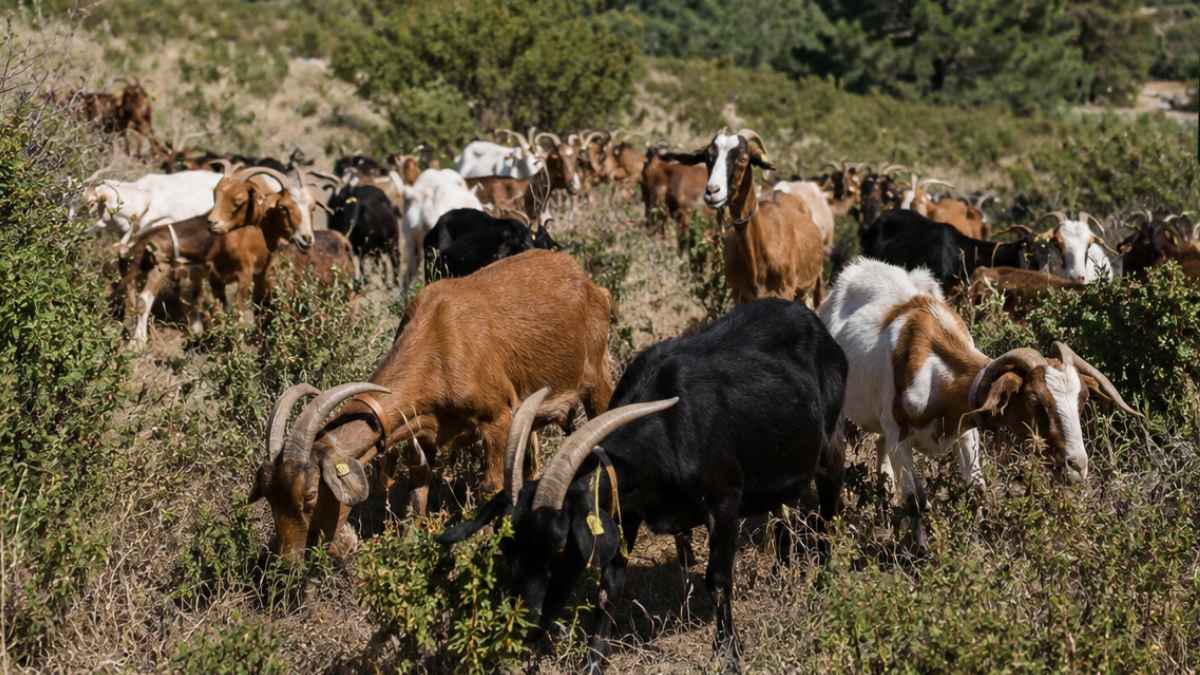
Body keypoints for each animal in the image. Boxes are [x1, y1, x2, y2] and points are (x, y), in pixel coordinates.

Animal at [249, 249, 616, 561]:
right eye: (268, 493)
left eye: (310, 495)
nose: (288, 562)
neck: (441, 341)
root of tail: (588, 282)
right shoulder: (422, 431)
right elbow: (418, 491)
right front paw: (409, 544)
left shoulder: (498, 419)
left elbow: (490, 487)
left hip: (597, 378)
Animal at [439, 298, 848, 673]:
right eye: (508, 545)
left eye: (559, 545)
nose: (526, 624)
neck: (667, 432)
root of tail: (813, 322)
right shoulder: (625, 512)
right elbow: (610, 586)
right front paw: (592, 661)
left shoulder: (724, 500)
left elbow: (718, 578)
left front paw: (728, 655)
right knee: (783, 509)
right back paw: (780, 574)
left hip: (830, 446)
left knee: (828, 512)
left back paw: (823, 584)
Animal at [665, 129, 825, 306]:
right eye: (708, 157)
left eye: (743, 158)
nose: (712, 192)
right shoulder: (740, 295)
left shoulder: (786, 291)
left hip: (806, 290)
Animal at [819, 258, 1139, 551]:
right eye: (1035, 400)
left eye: (1082, 399)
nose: (1077, 466)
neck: (934, 371)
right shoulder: (900, 435)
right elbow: (915, 500)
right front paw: (921, 554)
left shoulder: (966, 431)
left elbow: (976, 489)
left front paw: (977, 545)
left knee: (880, 451)